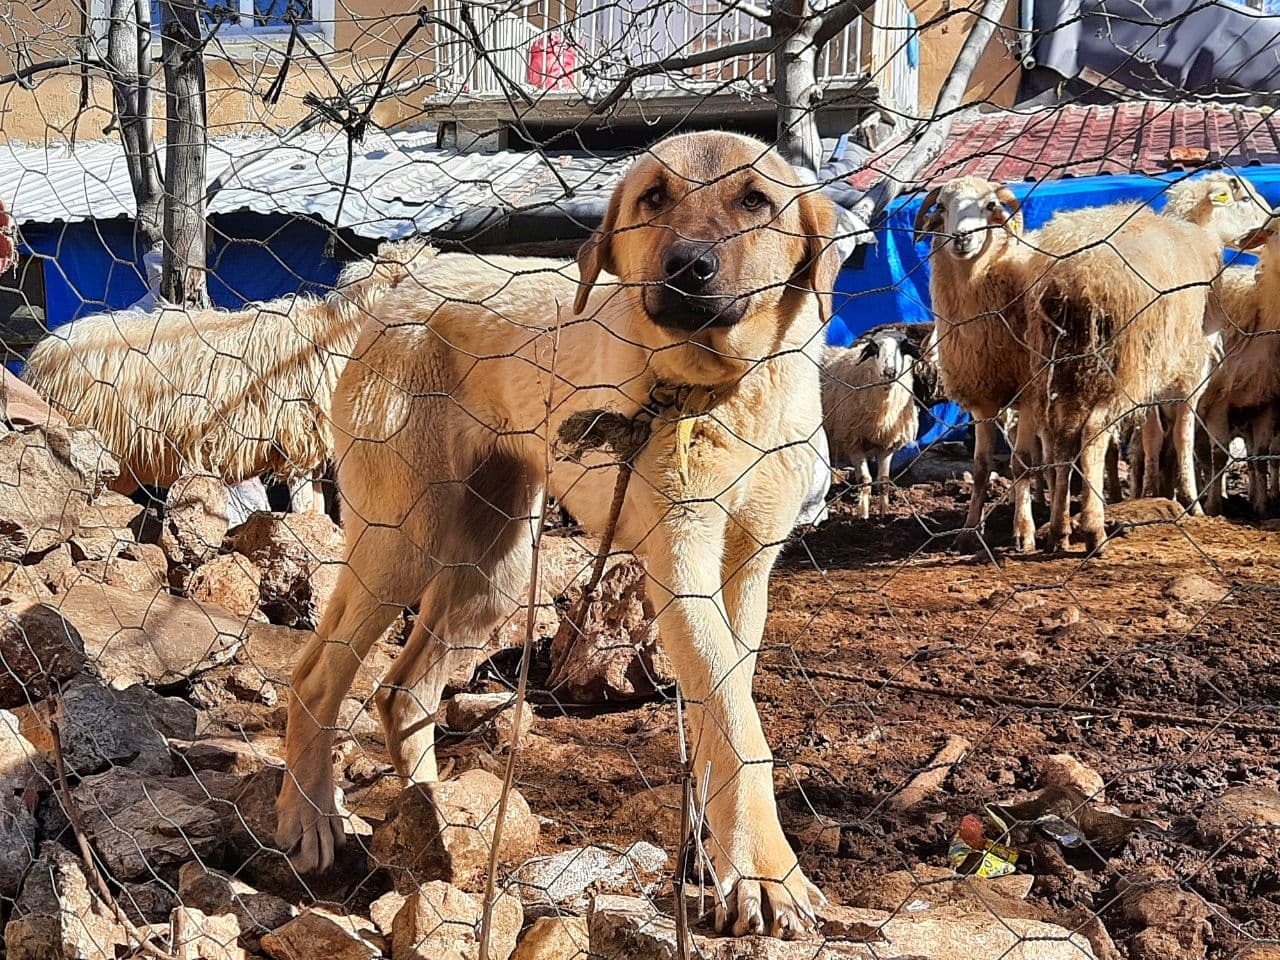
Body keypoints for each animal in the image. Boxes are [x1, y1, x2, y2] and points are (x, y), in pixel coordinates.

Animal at [279, 128, 839, 942]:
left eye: (755, 200)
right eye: (653, 197)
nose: (689, 268)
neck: (722, 395)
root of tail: (405, 285)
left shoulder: (748, 571)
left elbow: (724, 710)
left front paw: (721, 860)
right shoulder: (680, 568)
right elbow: (739, 725)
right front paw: (768, 874)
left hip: (493, 569)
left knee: (403, 692)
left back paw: (430, 820)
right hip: (402, 540)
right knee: (319, 675)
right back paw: (308, 817)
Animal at [819, 325, 931, 519]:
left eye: (903, 346)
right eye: (875, 347)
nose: (889, 372)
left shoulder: (887, 444)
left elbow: (884, 481)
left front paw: (884, 513)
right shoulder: (853, 441)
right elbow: (865, 480)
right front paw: (863, 516)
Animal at [911, 176, 1039, 552]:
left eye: (990, 206)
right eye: (942, 207)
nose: (961, 238)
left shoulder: (1029, 393)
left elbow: (1022, 462)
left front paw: (1024, 532)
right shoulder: (983, 399)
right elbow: (981, 466)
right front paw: (969, 531)